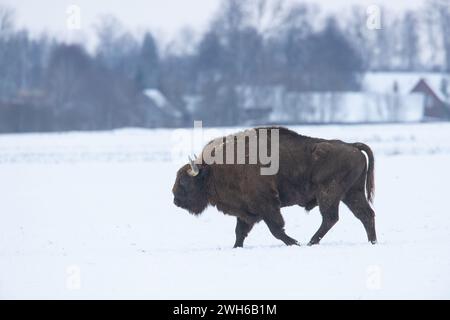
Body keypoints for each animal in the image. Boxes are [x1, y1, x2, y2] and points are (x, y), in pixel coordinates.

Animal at [172, 127, 376, 248]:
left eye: (183, 181)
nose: (175, 199)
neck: (212, 170)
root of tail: (352, 146)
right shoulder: (246, 210)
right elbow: (240, 232)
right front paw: (236, 247)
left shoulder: (267, 205)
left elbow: (276, 229)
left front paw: (294, 243)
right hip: (352, 193)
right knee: (365, 215)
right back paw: (372, 242)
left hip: (329, 194)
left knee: (331, 218)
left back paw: (310, 242)